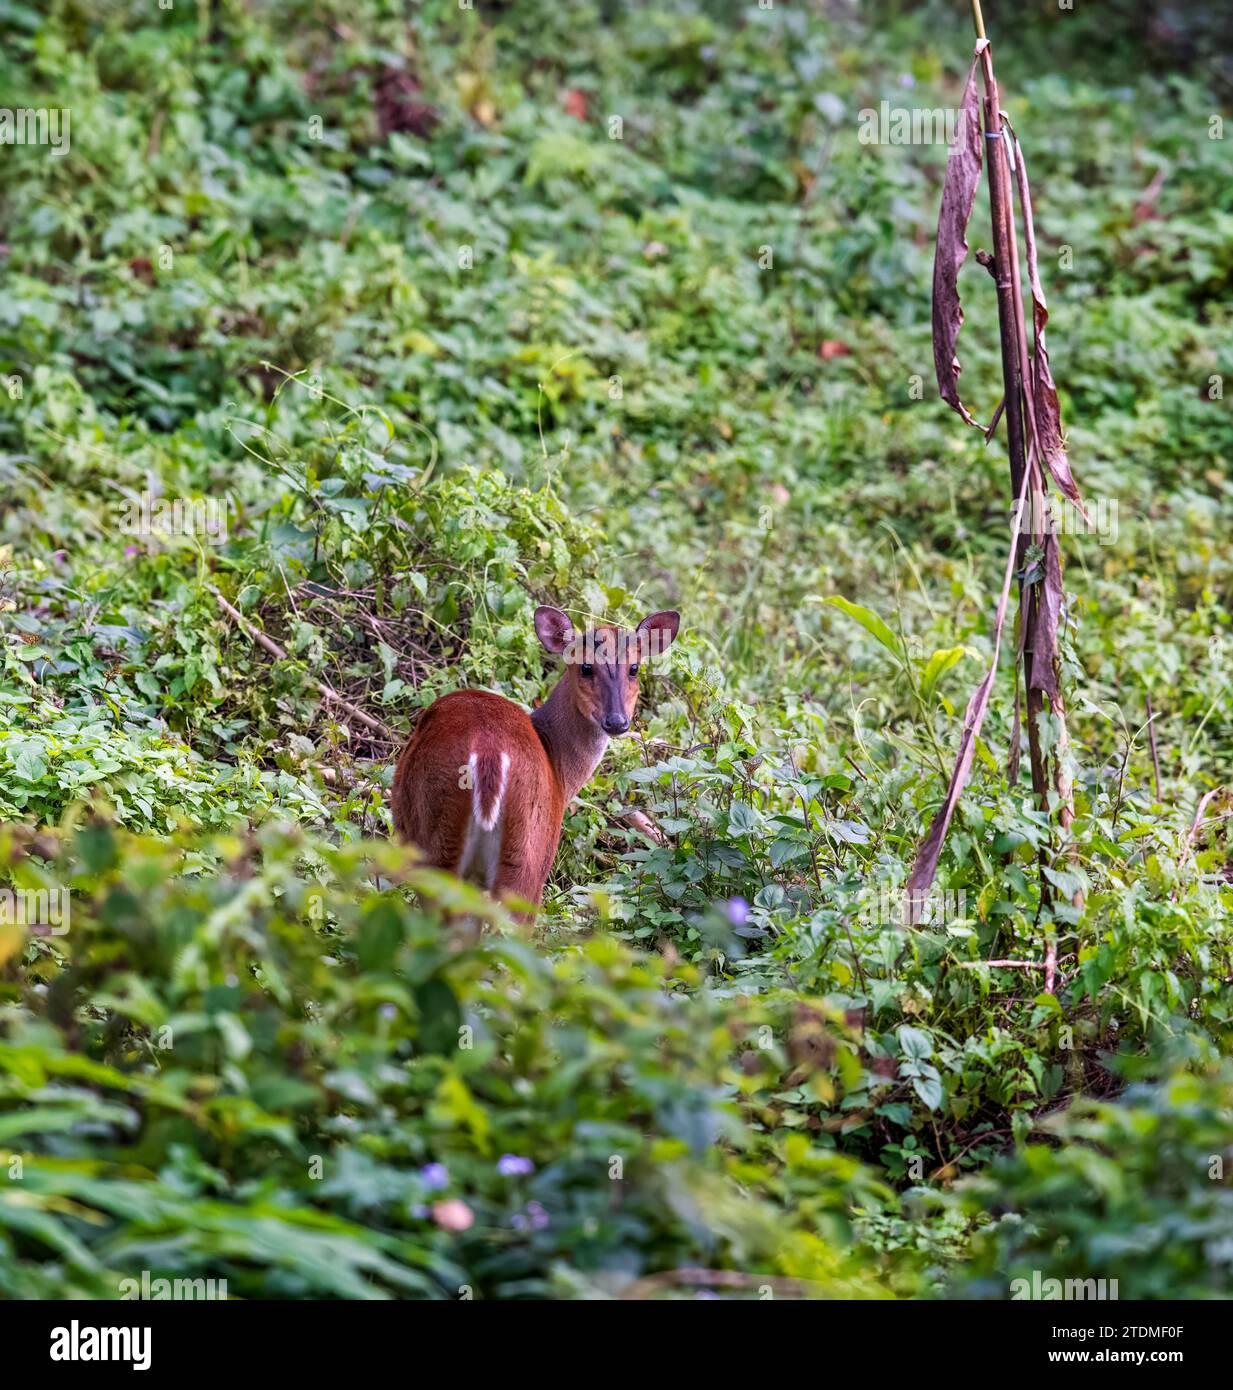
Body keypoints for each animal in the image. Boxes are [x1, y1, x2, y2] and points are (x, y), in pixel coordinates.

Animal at [392, 606, 681, 917]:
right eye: (586, 667)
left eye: (634, 668)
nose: (616, 721)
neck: (557, 763)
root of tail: (488, 753)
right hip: (527, 855)